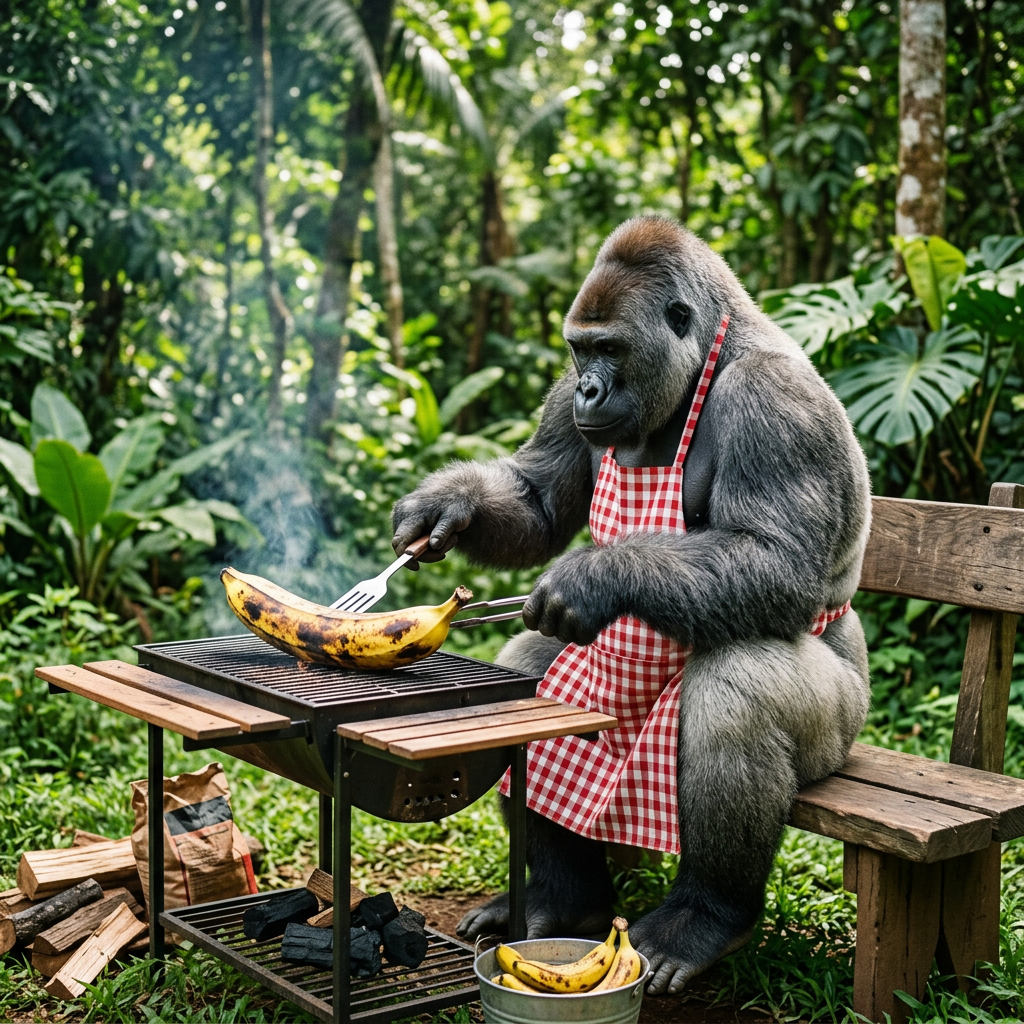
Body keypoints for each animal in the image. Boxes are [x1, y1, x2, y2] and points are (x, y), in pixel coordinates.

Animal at [391, 216, 871, 995]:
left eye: (611, 349)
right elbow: (538, 501)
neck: (708, 359)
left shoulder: (774, 400)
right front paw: (449, 504)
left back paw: (707, 915)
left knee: (740, 690)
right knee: (529, 664)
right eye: (580, 350)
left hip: (842, 731)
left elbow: (776, 561)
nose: (589, 389)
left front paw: (591, 581)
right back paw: (566, 899)